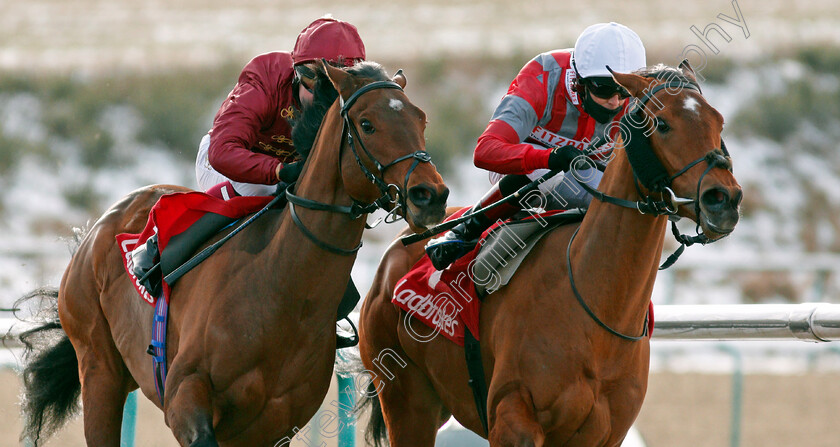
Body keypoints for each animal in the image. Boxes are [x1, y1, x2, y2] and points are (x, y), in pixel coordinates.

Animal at [16, 60, 450, 447]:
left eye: (422, 120)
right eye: (367, 124)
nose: (430, 195)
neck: (281, 288)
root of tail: (96, 229)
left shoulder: (272, 425)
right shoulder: (184, 396)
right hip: (99, 368)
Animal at [358, 61, 740, 446]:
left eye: (719, 122)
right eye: (662, 124)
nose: (723, 199)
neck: (596, 310)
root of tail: (396, 250)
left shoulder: (606, 434)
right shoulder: (512, 421)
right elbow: (494, 146)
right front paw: (564, 156)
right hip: (407, 400)